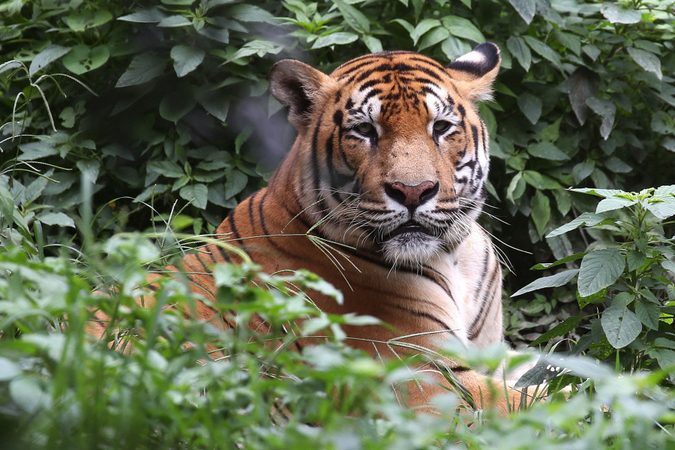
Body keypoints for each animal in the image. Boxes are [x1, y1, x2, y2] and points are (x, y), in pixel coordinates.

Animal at [95, 42, 526, 414]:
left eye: (440, 127)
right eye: (365, 131)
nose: (413, 191)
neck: (453, 256)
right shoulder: (424, 379)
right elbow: (533, 404)